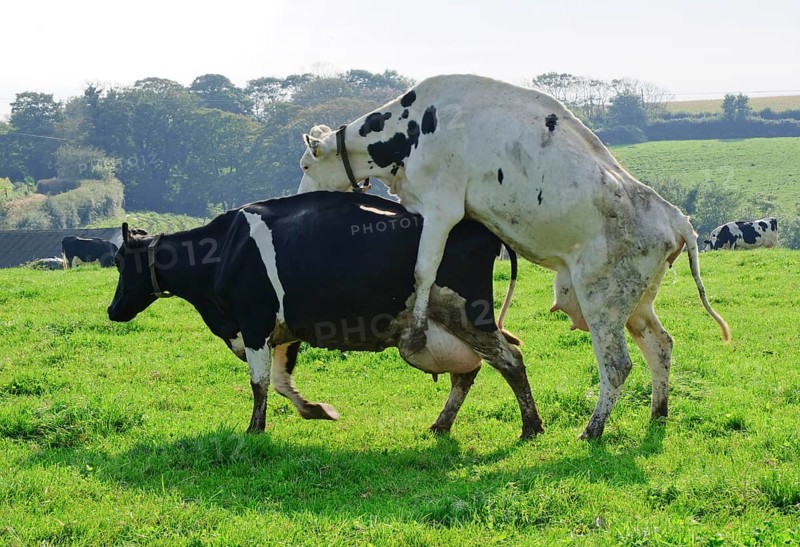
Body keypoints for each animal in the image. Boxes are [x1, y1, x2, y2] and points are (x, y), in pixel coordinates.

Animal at [107, 191, 543, 438]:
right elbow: (281, 382)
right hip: (447, 325)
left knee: (510, 359)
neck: (222, 250)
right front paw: (317, 411)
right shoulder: (283, 331)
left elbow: (259, 384)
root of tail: (481, 228)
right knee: (468, 371)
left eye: (119, 261)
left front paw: (254, 430)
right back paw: (441, 425)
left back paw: (531, 427)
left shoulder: (253, 323)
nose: (112, 310)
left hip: (467, 314)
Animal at [298, 74, 730, 439]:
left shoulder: (441, 208)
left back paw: (592, 430)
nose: (299, 197)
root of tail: (673, 215)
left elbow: (424, 271)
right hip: (637, 302)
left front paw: (417, 333)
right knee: (661, 346)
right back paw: (658, 413)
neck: (412, 130)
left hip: (602, 299)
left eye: (305, 164)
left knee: (618, 365)